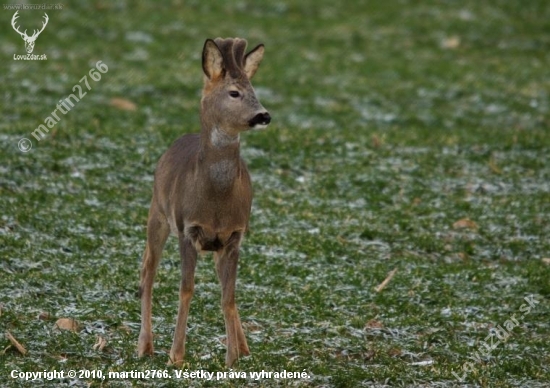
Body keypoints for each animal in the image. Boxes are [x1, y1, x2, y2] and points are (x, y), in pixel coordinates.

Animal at [138, 38, 272, 368]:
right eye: (234, 92)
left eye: (254, 89)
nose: (263, 115)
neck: (216, 201)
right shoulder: (188, 229)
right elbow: (186, 289)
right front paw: (176, 355)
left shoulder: (234, 234)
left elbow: (228, 296)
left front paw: (232, 357)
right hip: (157, 213)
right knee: (148, 270)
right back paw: (145, 345)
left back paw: (245, 346)